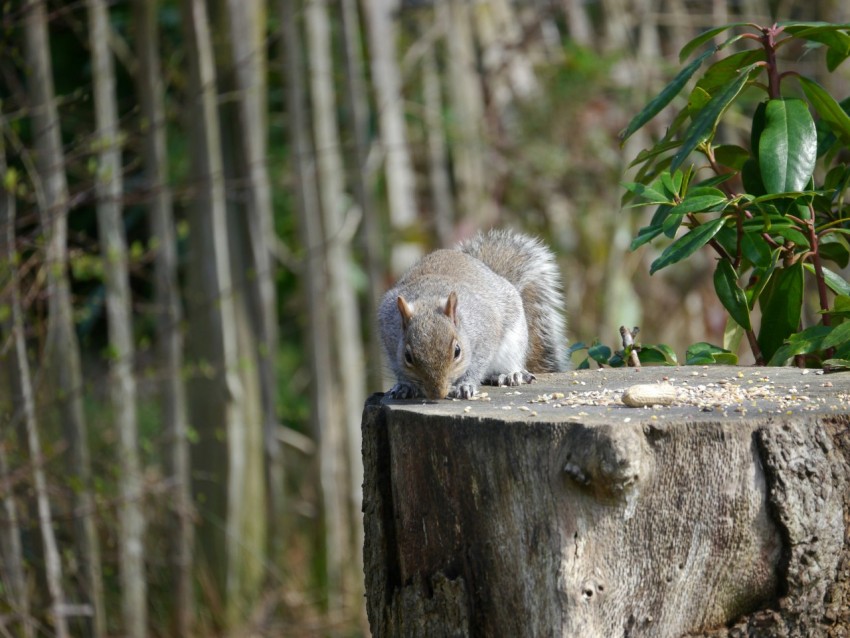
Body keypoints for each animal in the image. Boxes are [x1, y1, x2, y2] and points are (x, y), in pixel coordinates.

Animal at [376, 230, 564, 400]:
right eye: (407, 356)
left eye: (457, 351)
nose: (437, 394)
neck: (429, 298)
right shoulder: (389, 335)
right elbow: (397, 366)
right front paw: (405, 385)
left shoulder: (485, 330)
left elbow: (477, 363)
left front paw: (465, 385)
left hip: (514, 342)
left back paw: (509, 375)